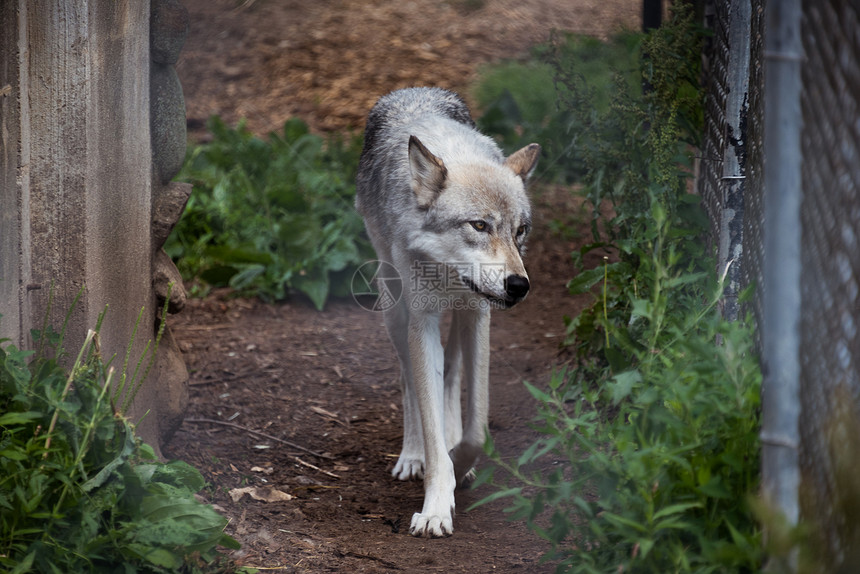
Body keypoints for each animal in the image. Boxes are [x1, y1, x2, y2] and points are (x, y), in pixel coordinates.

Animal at [354, 88, 536, 536]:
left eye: (519, 230)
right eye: (479, 225)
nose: (518, 286)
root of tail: (410, 91)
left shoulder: (479, 315)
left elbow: (477, 426)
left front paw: (459, 461)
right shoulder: (422, 321)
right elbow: (428, 408)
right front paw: (436, 506)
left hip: (457, 318)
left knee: (451, 373)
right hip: (395, 309)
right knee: (409, 379)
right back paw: (412, 456)